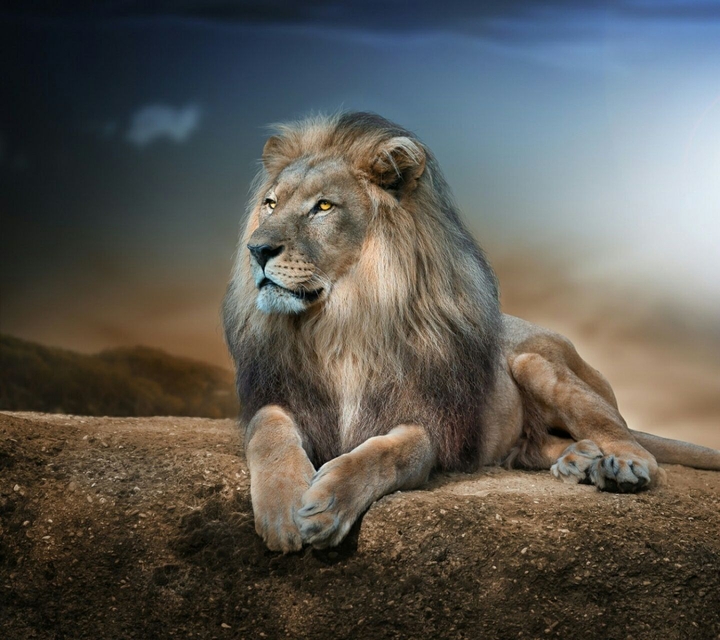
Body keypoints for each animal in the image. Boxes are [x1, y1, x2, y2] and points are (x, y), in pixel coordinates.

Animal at [222, 112, 720, 552]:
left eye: (323, 206)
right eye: (270, 203)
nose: (256, 249)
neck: (341, 325)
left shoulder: (428, 420)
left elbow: (389, 453)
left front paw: (327, 503)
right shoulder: (283, 396)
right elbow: (268, 430)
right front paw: (284, 509)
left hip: (536, 362)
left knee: (623, 434)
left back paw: (619, 465)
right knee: (534, 446)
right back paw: (578, 460)